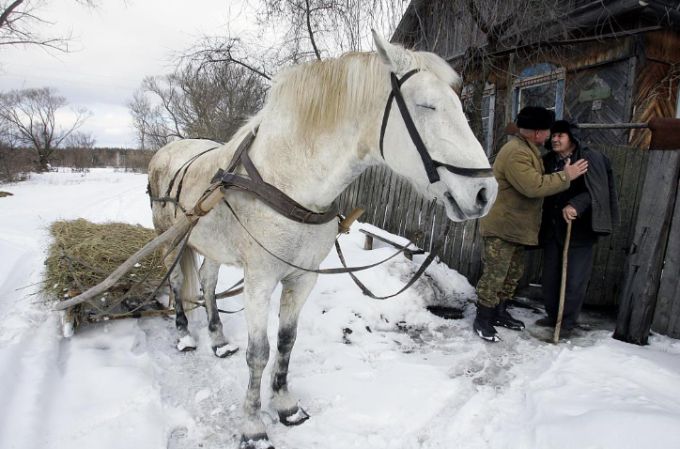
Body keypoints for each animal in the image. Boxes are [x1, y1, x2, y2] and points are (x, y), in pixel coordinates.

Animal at [149, 32, 496, 448]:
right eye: (426, 105)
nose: (485, 193)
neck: (288, 180)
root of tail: (167, 152)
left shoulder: (303, 277)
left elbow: (286, 341)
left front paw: (285, 406)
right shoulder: (260, 280)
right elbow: (258, 352)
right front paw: (252, 426)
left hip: (210, 245)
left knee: (207, 282)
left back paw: (217, 341)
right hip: (169, 238)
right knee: (175, 280)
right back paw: (185, 335)